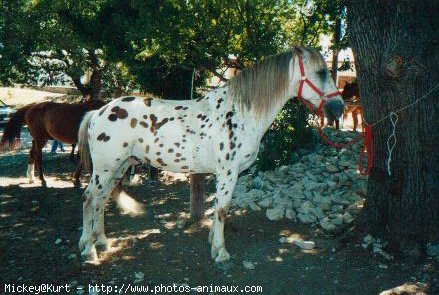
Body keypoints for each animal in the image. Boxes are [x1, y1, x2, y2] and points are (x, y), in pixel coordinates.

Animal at [77, 45, 346, 266]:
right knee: (89, 199)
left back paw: (102, 241)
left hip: (119, 168)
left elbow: (217, 208)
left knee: (101, 200)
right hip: (105, 169)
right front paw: (221, 253)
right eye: (321, 72)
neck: (240, 112)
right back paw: (89, 250)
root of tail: (99, 111)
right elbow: (222, 209)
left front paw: (212, 243)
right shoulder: (228, 171)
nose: (338, 108)